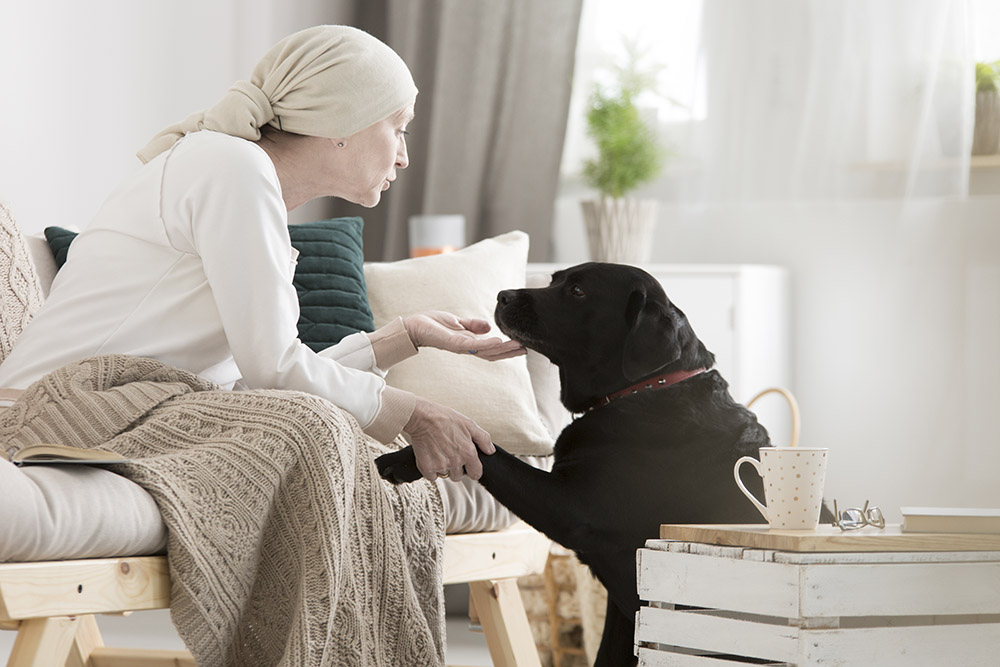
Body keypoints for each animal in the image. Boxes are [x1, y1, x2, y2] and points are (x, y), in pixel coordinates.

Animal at [376, 264, 772, 664]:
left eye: (578, 291)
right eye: (554, 280)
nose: (503, 295)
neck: (646, 388)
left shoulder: (569, 508)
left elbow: (486, 448)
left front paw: (412, 453)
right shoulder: (626, 611)